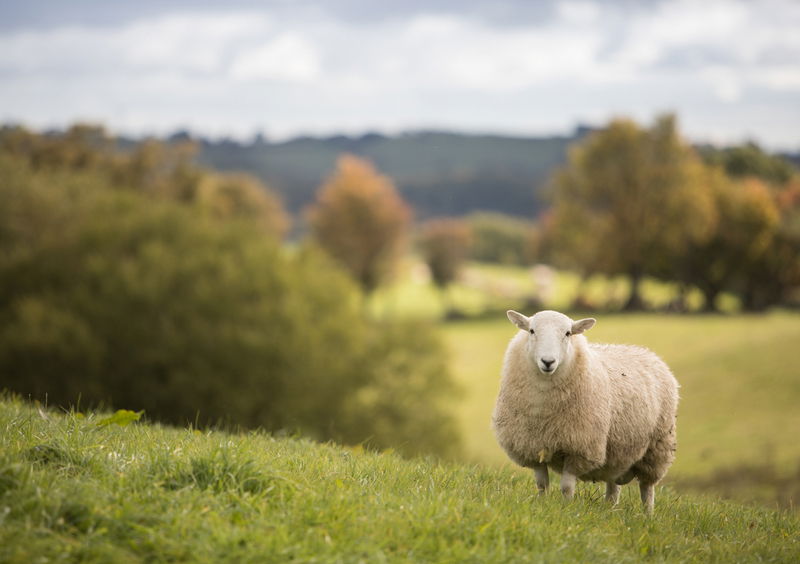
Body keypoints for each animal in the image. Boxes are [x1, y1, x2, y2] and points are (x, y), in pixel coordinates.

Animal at [490, 310, 680, 512]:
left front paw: (566, 508)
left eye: (568, 333)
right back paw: (609, 509)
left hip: (657, 447)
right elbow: (542, 484)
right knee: (613, 486)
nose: (548, 362)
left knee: (647, 488)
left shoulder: (578, 449)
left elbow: (566, 487)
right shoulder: (532, 447)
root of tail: (648, 353)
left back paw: (647, 514)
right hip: (616, 450)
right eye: (532, 330)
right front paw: (542, 504)